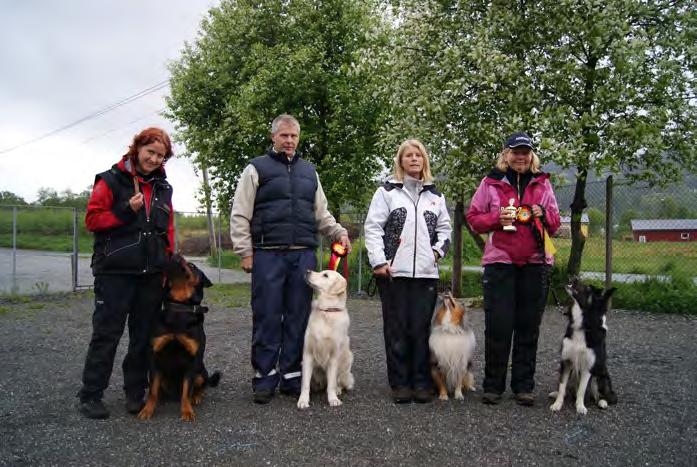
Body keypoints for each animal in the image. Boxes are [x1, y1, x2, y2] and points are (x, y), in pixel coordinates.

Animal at [137, 254, 220, 422]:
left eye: (192, 266)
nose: (176, 254)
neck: (179, 308)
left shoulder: (192, 361)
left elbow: (187, 390)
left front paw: (187, 411)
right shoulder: (155, 358)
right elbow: (153, 391)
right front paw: (147, 410)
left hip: (201, 373)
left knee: (200, 386)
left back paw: (196, 397)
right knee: (159, 389)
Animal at [298, 270, 356, 410]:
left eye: (325, 275)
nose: (307, 271)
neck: (327, 312)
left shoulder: (334, 357)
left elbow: (331, 384)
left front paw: (333, 399)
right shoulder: (307, 355)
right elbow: (305, 384)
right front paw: (303, 401)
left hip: (348, 359)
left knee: (338, 382)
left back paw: (338, 390)